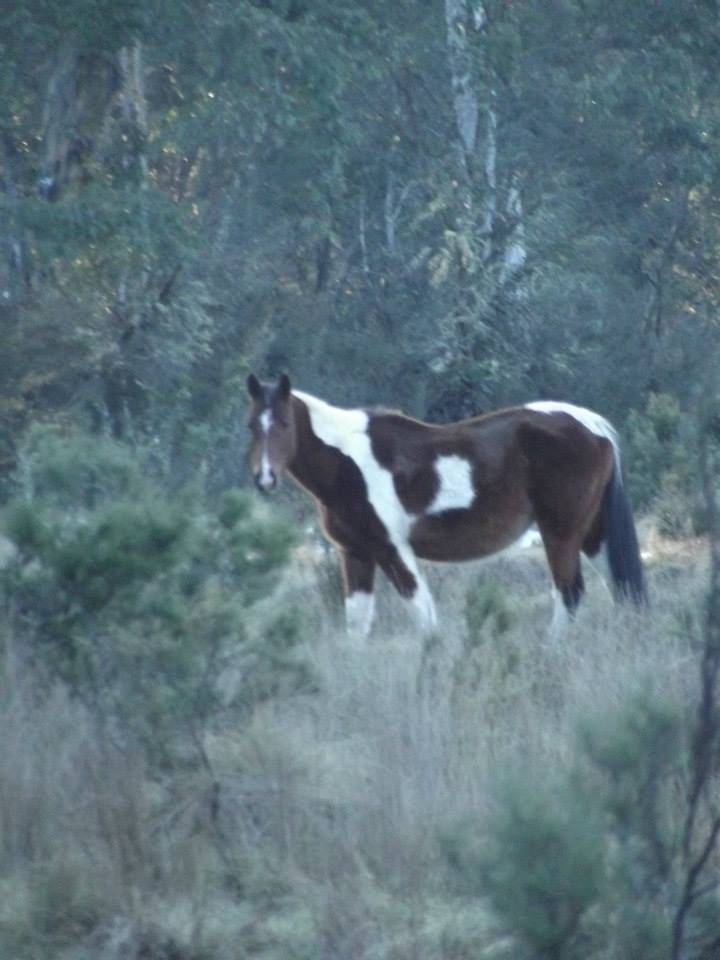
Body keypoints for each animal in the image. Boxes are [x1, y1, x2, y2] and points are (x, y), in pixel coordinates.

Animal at [248, 376, 648, 636]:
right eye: (252, 425)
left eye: (284, 423)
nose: (264, 479)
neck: (349, 460)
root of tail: (590, 424)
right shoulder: (356, 554)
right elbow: (357, 624)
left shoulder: (393, 550)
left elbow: (424, 618)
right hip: (593, 535)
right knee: (622, 590)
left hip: (560, 534)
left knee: (569, 593)